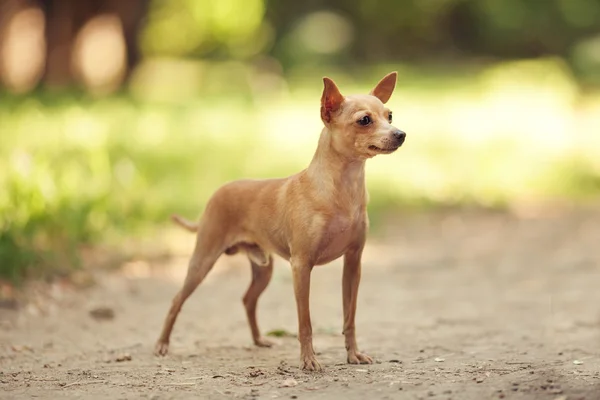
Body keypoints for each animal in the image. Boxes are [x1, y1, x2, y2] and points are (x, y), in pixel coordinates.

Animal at [155, 72, 408, 372]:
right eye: (365, 120)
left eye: (389, 115)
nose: (401, 134)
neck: (342, 191)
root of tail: (218, 193)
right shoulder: (301, 266)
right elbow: (305, 322)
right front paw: (308, 360)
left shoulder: (353, 263)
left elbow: (350, 316)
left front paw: (353, 354)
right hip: (203, 261)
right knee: (176, 300)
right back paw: (162, 345)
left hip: (263, 269)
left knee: (248, 299)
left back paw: (258, 340)